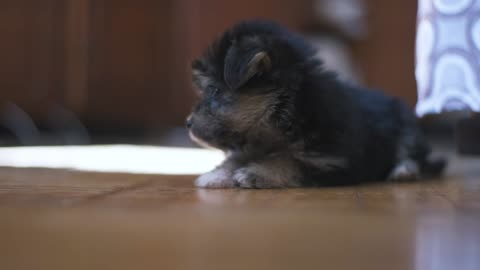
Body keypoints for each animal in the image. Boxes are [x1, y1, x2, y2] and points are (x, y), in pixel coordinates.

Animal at [188, 20, 446, 188]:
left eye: (213, 90)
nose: (188, 123)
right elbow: (237, 157)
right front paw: (217, 174)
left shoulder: (334, 162)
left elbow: (290, 162)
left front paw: (257, 172)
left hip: (406, 125)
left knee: (414, 155)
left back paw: (404, 170)